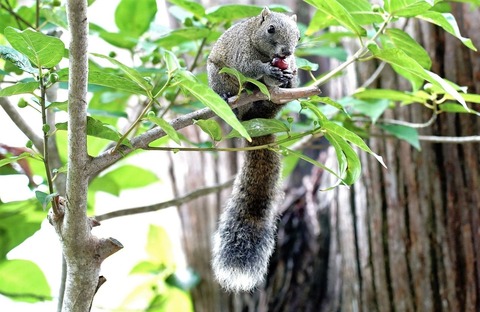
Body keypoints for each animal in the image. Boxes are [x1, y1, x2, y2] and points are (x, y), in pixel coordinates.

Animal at [207, 6, 300, 292]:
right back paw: (229, 98)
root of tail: (253, 119)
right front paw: (268, 70)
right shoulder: (242, 54)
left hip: (271, 105)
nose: (287, 53)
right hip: (220, 78)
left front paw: (287, 74)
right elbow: (249, 68)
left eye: (299, 36)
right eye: (270, 29)